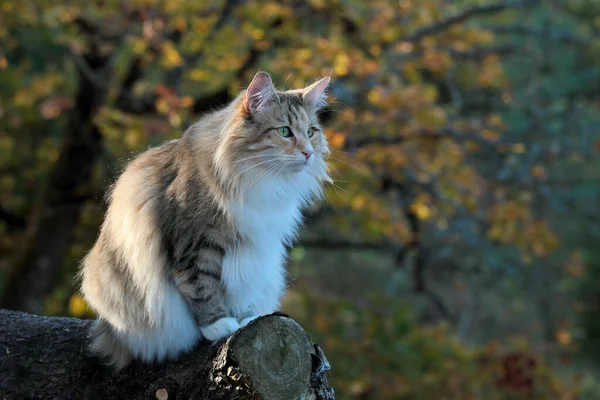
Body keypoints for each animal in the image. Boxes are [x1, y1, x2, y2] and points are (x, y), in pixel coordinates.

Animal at [78, 72, 332, 368]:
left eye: (311, 132)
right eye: (284, 131)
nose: (308, 152)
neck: (259, 179)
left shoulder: (254, 251)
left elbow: (243, 289)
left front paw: (246, 317)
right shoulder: (196, 244)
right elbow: (202, 286)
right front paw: (220, 324)